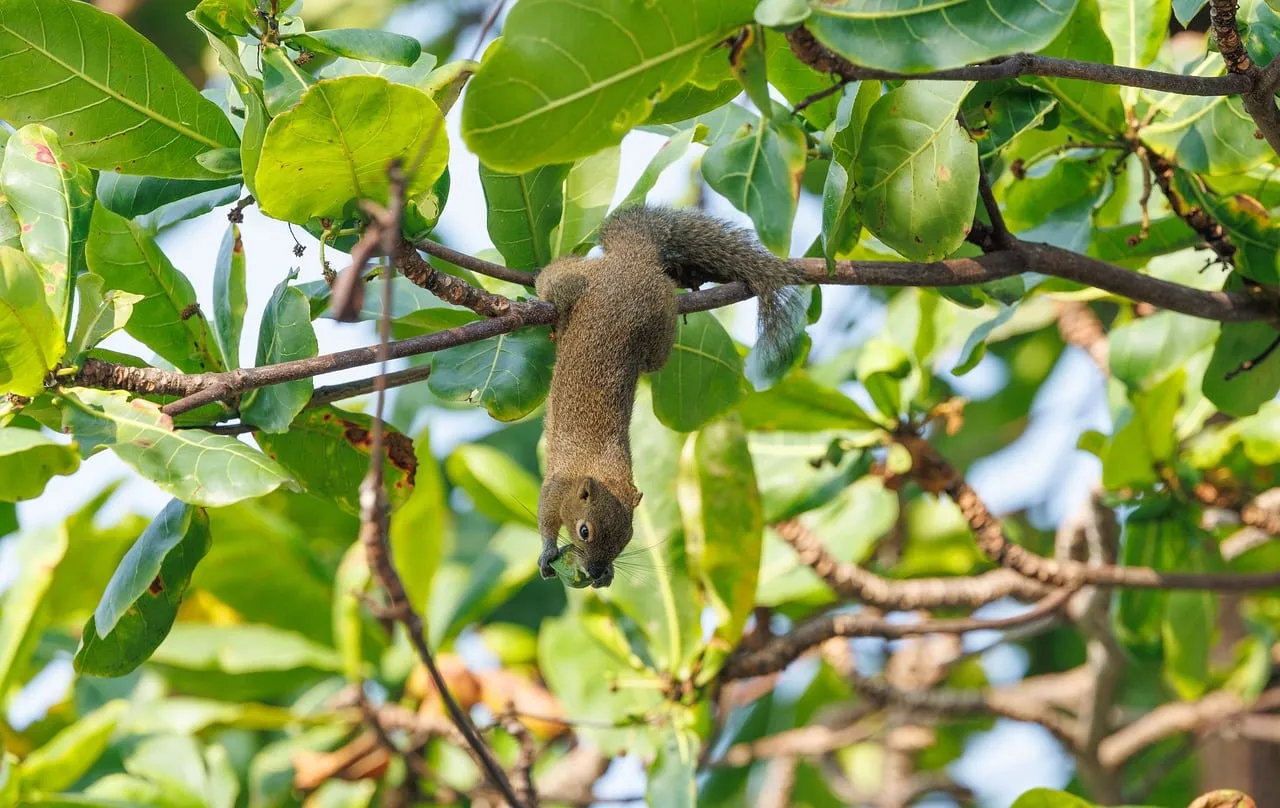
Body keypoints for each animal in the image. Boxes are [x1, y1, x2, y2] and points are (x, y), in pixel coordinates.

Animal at [535, 205, 805, 588]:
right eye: (584, 531)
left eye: (628, 537)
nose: (597, 572)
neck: (602, 473)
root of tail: (634, 259)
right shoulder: (557, 484)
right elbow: (545, 518)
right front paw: (547, 552)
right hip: (576, 285)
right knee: (555, 279)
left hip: (658, 326)